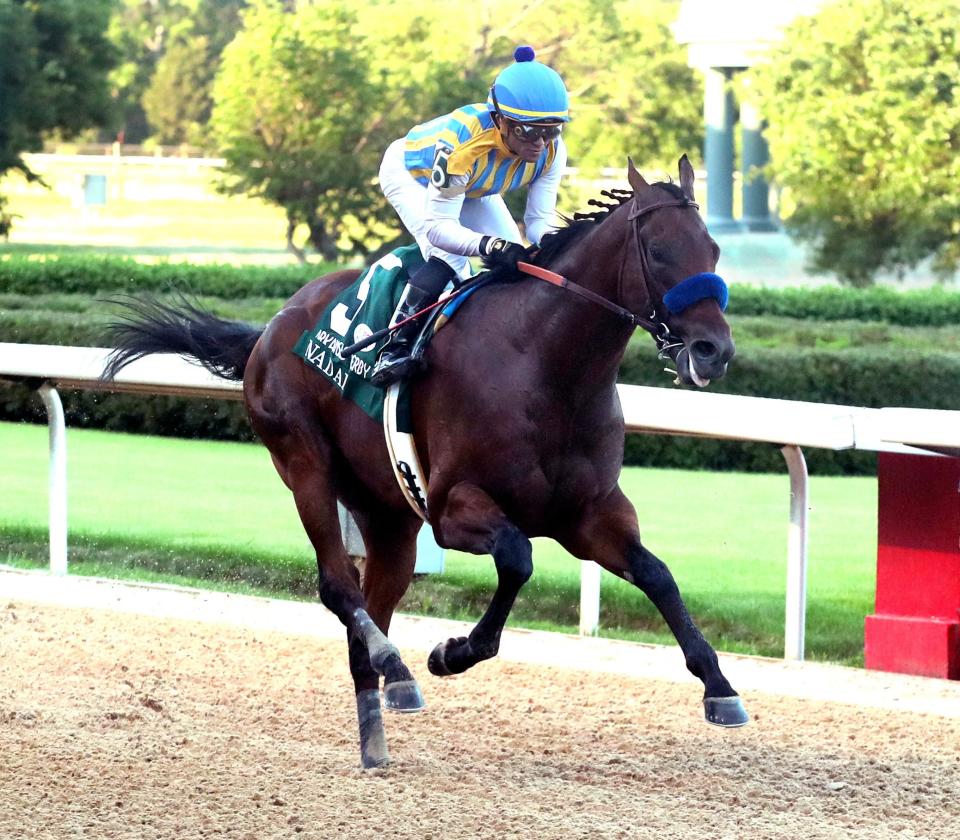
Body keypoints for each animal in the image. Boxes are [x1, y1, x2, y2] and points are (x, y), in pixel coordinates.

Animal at [107, 156, 752, 768]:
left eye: (715, 248)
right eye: (659, 251)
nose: (713, 351)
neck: (546, 366)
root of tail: (272, 325)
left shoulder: (590, 515)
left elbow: (657, 575)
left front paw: (720, 686)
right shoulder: (451, 507)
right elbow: (517, 558)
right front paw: (451, 653)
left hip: (387, 513)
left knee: (369, 609)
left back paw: (378, 729)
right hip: (304, 463)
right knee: (339, 587)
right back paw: (398, 668)